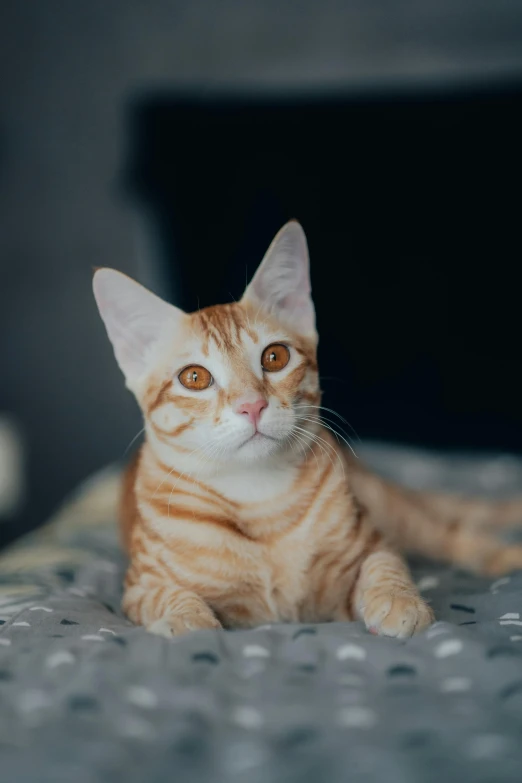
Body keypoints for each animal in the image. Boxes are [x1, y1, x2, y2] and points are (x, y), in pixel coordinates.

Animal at [91, 220, 520, 636]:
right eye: (194, 377)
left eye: (274, 357)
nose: (252, 405)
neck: (260, 499)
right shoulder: (140, 585)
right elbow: (167, 595)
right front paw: (187, 620)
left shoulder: (370, 547)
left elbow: (384, 564)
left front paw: (399, 601)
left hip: (391, 508)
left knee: (451, 530)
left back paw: (505, 556)